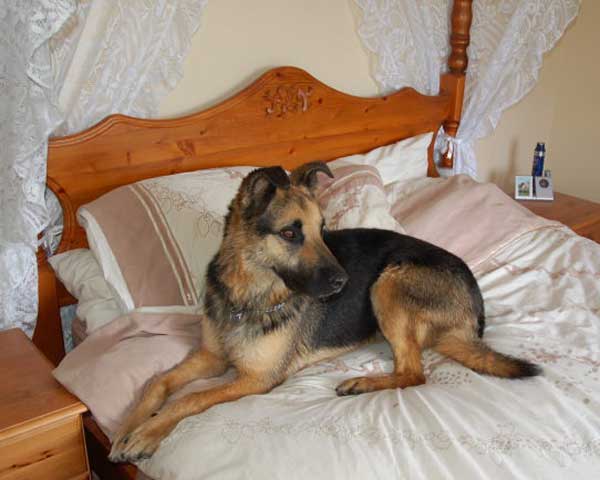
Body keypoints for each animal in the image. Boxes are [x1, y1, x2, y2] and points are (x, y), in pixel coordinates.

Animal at [110, 161, 540, 462]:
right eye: (290, 233)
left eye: (323, 229)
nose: (343, 282)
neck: (248, 297)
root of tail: (475, 309)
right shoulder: (211, 357)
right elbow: (158, 383)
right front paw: (128, 426)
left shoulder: (255, 379)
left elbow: (191, 399)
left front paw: (146, 433)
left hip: (389, 282)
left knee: (413, 373)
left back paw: (362, 383)